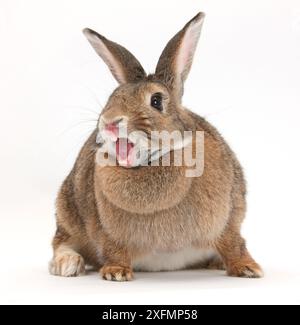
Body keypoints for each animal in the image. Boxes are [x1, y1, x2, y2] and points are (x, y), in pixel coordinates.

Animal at [49, 12, 262, 280]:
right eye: (112, 97)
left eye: (157, 100)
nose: (109, 122)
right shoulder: (107, 232)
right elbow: (114, 250)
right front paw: (116, 272)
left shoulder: (228, 219)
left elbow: (234, 243)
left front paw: (248, 268)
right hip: (67, 209)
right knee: (62, 241)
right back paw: (67, 264)